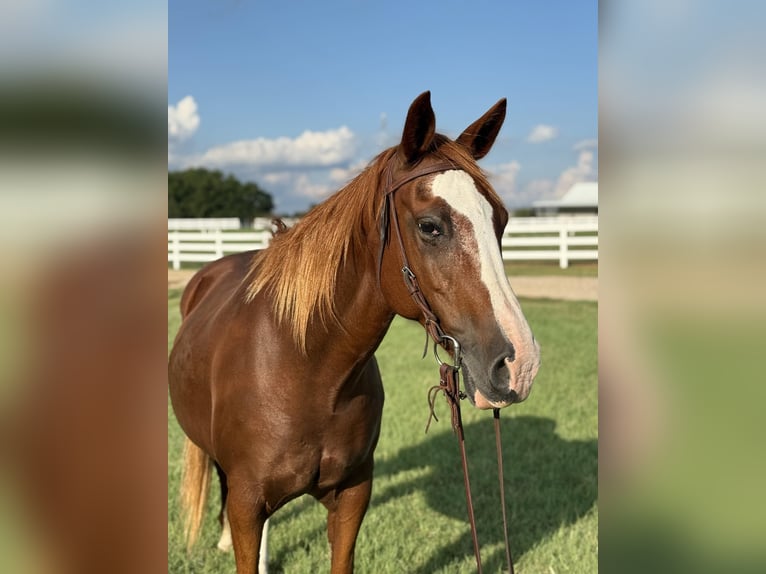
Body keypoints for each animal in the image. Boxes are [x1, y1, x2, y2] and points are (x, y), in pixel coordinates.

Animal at [168, 91, 541, 574]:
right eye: (430, 226)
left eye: (502, 221)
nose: (520, 364)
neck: (306, 368)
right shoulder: (248, 504)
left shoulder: (353, 496)